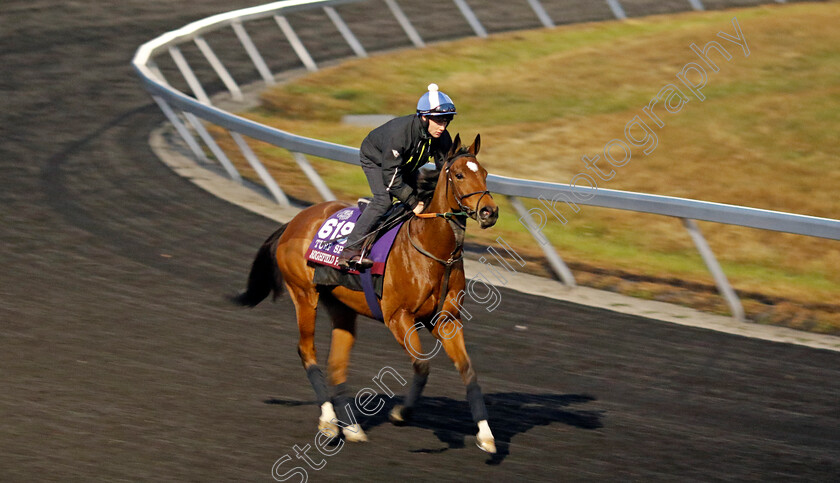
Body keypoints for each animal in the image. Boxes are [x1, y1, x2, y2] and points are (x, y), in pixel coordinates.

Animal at [233, 133, 498, 454]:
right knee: (307, 351)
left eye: (485, 173)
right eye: (459, 175)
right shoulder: (398, 317)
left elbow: (468, 371)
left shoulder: (446, 321)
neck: (432, 249)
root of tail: (294, 222)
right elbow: (422, 366)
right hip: (304, 295)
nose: (490, 212)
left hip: (341, 307)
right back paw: (328, 422)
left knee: (337, 365)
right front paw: (401, 413)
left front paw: (486, 434)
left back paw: (352, 427)